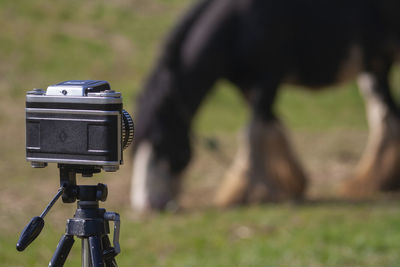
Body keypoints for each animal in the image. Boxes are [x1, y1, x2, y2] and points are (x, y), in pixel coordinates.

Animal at [130, 0, 400, 213]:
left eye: (159, 142)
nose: (145, 205)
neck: (238, 23)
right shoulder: (249, 87)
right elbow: (272, 126)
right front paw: (290, 183)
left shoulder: (267, 80)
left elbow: (252, 132)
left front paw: (245, 193)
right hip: (376, 64)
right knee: (386, 114)